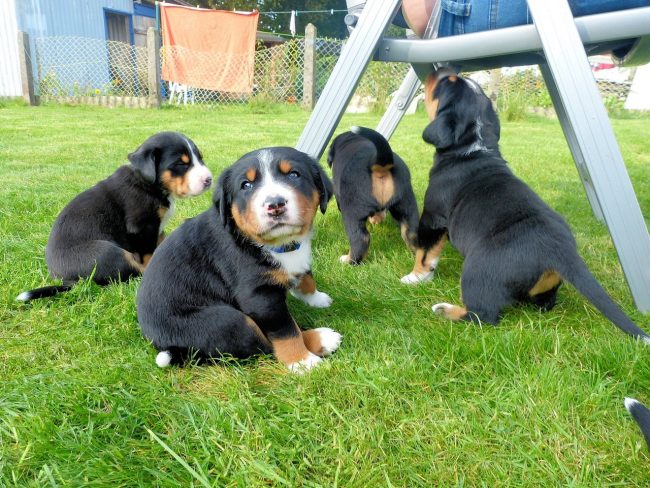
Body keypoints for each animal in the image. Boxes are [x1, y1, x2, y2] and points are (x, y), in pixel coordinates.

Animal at [17, 132, 213, 302]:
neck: (148, 184)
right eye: (181, 163)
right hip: (107, 252)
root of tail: (66, 280)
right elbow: (149, 254)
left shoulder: (157, 228)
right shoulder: (143, 227)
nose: (209, 179)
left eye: (200, 158)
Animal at [135, 147, 340, 372]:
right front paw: (302, 362)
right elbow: (285, 331)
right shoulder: (259, 296)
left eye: (294, 175)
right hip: (229, 322)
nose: (275, 204)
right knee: (261, 344)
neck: (276, 244)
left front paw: (316, 298)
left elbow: (306, 276)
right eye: (246, 185)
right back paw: (320, 338)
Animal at [326, 126, 418, 264]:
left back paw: (348, 260)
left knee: (360, 239)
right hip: (406, 203)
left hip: (352, 210)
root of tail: (378, 163)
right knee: (411, 233)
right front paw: (376, 220)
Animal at [400, 68, 648, 344]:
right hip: (544, 288)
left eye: (446, 82)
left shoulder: (433, 217)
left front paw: (415, 276)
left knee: (482, 316)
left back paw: (444, 309)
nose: (441, 69)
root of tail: (560, 250)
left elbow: (425, 252)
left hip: (477, 271)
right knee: (543, 304)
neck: (472, 149)